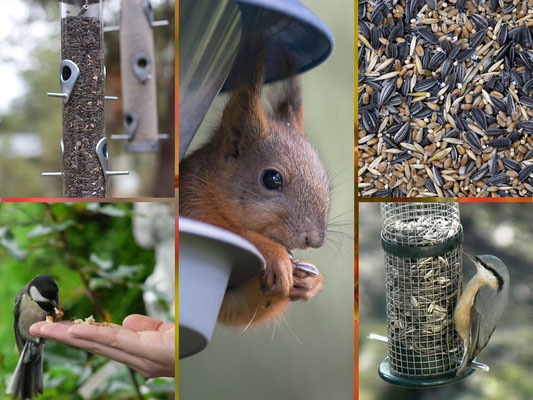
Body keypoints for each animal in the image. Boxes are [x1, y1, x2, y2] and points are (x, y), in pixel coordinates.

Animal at [179, 48, 328, 328]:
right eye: (272, 179)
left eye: (325, 179)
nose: (314, 240)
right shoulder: (190, 201)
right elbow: (235, 233)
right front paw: (274, 254)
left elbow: (237, 306)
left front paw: (311, 281)